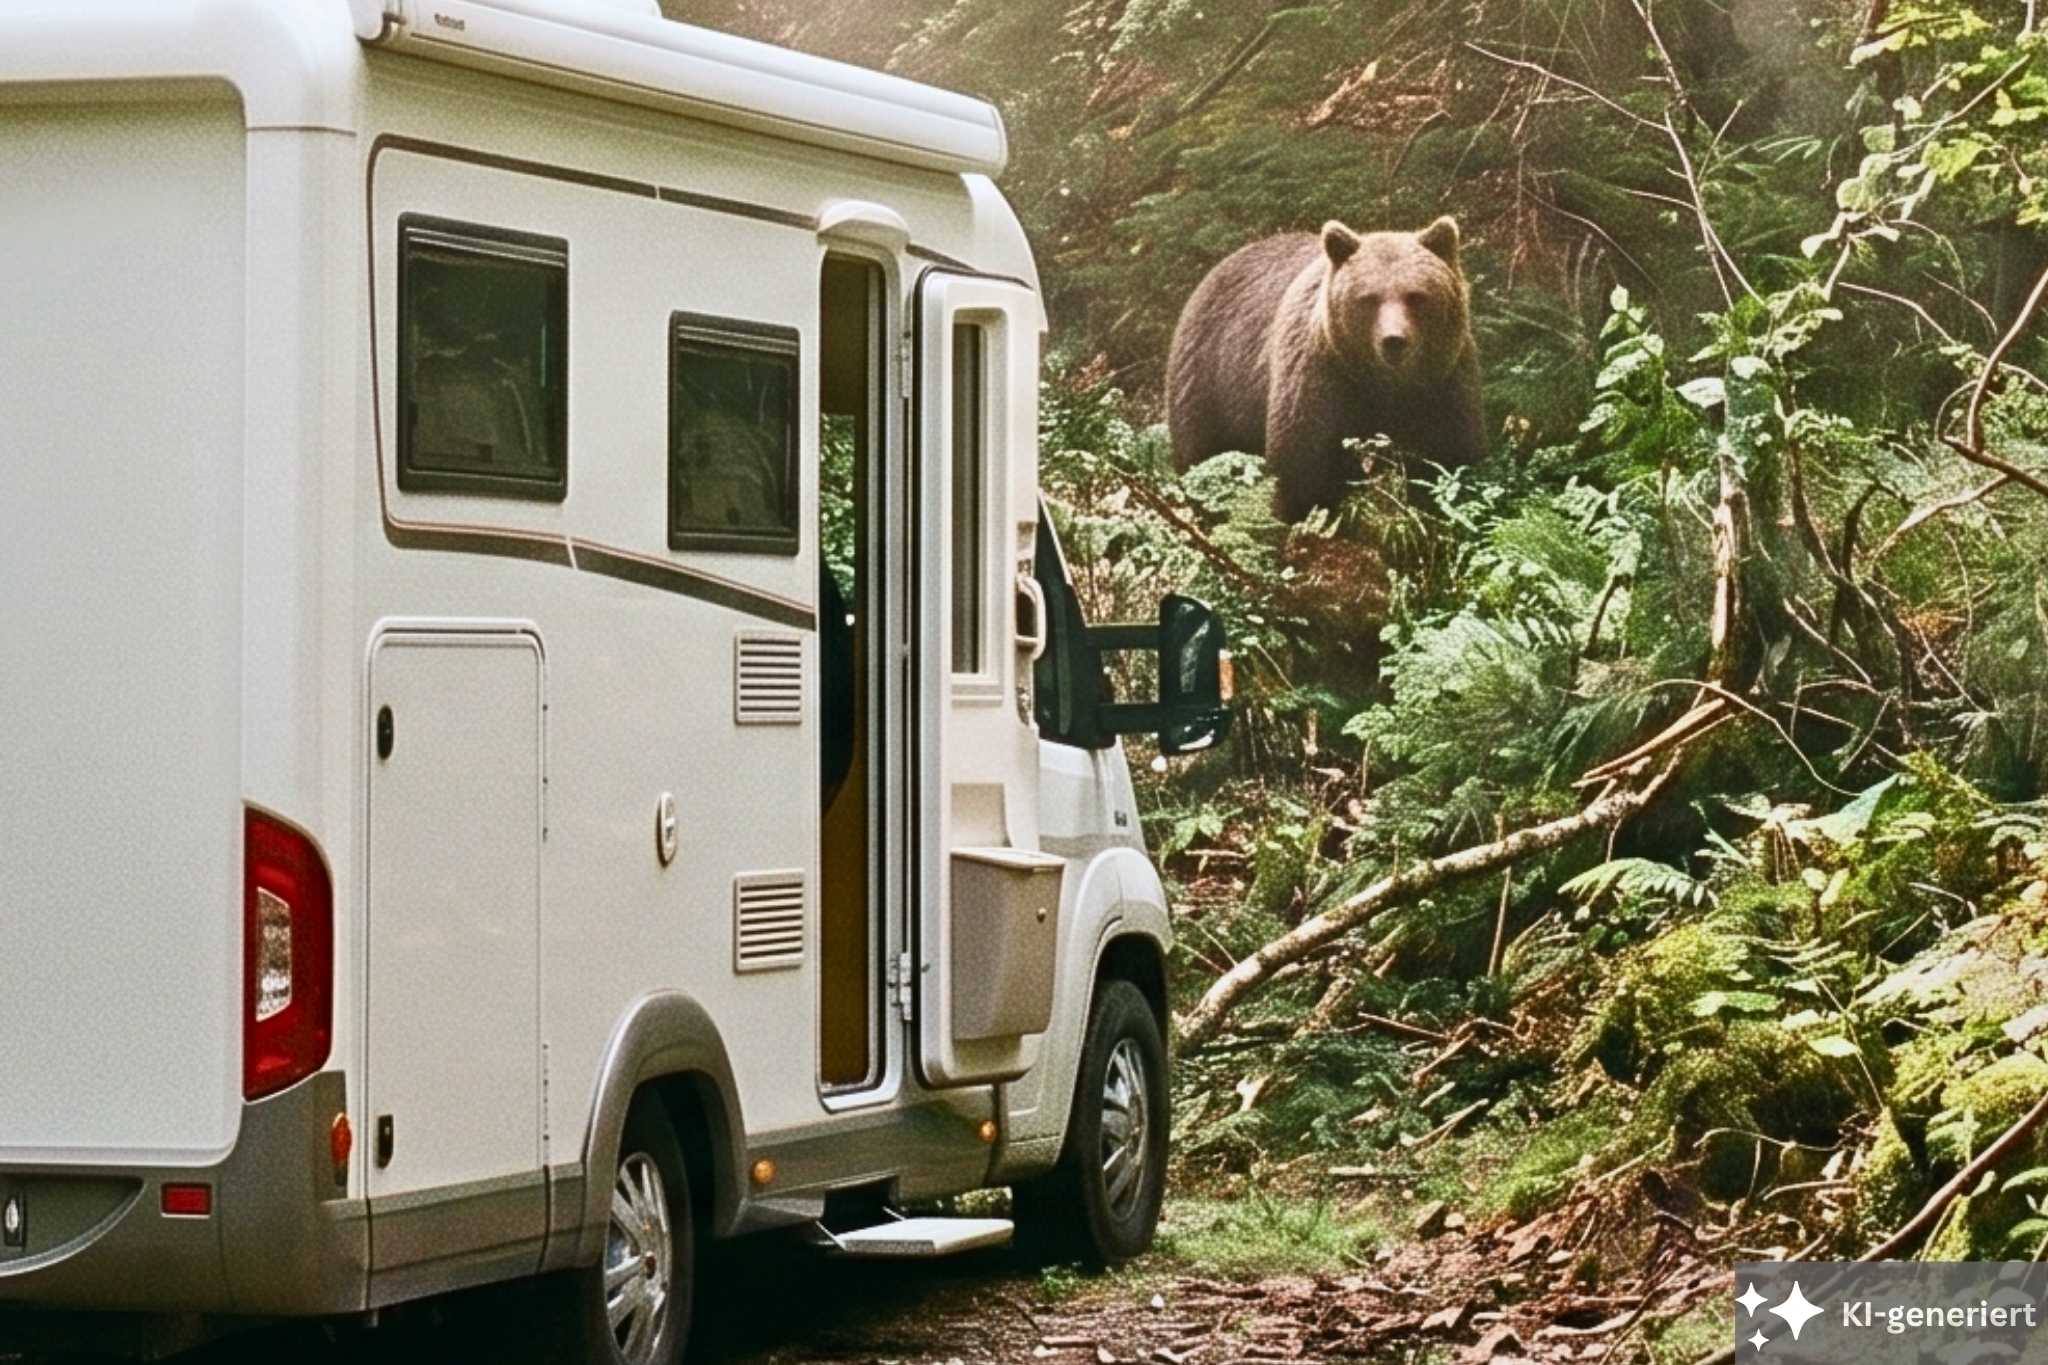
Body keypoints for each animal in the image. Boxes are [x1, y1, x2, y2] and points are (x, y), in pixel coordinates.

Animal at [1165, 215, 1485, 523]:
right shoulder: (1320, 375)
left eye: (1416, 295)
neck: (1385, 384)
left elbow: (1451, 455)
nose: (1394, 340)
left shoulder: (1444, 383)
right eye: (1369, 298)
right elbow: (1300, 462)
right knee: (1200, 454)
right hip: (1209, 380)